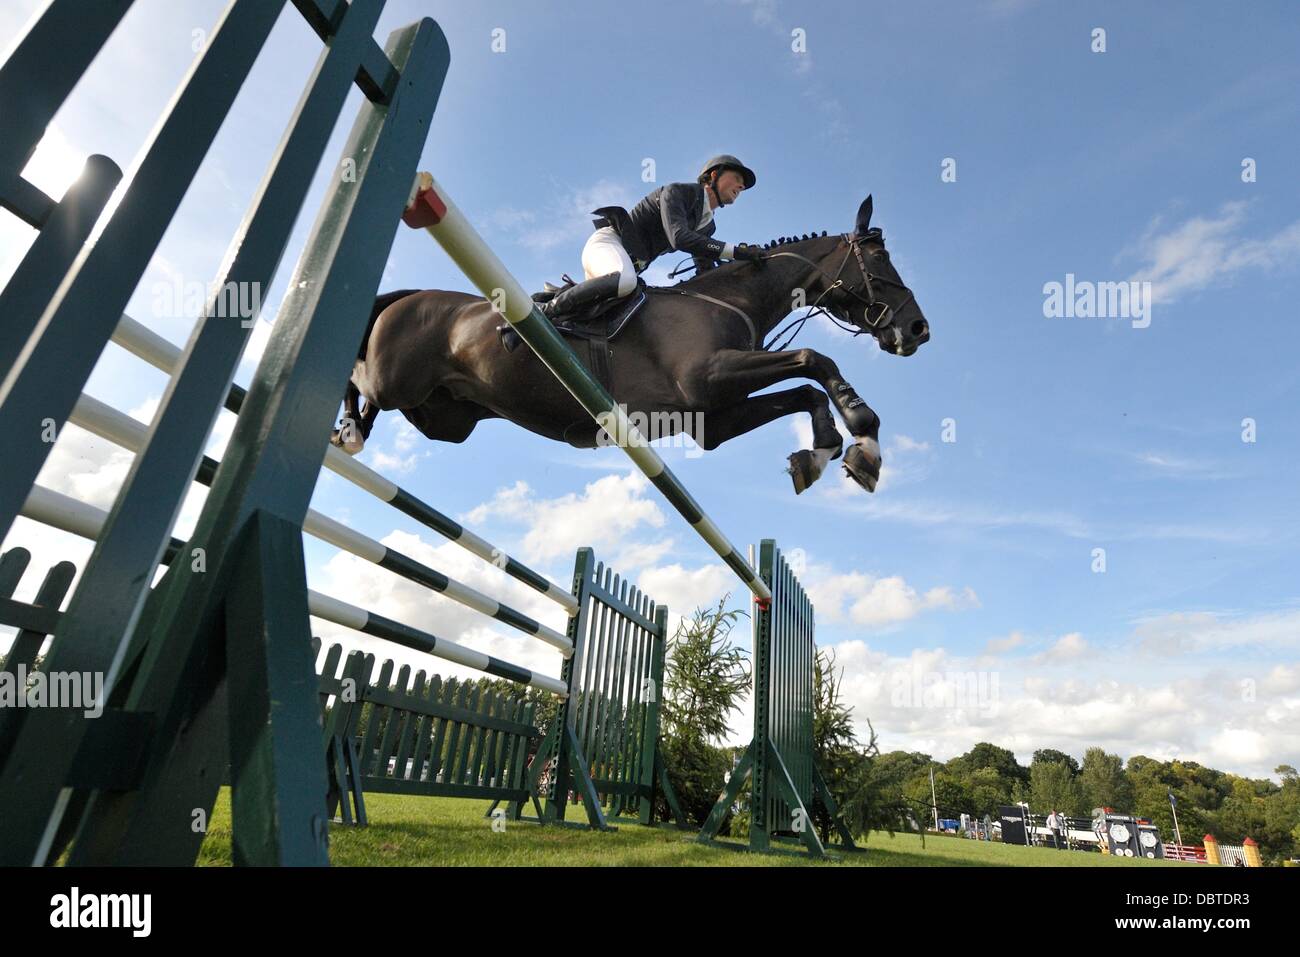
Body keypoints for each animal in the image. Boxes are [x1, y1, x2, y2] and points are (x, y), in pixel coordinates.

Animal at [330, 195, 930, 494]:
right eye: (879, 257)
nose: (918, 330)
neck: (730, 300)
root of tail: (409, 295)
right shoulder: (708, 377)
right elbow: (814, 360)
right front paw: (863, 434)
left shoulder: (711, 417)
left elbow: (803, 392)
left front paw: (823, 453)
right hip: (396, 380)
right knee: (357, 378)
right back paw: (347, 430)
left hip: (445, 417)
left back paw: (353, 431)